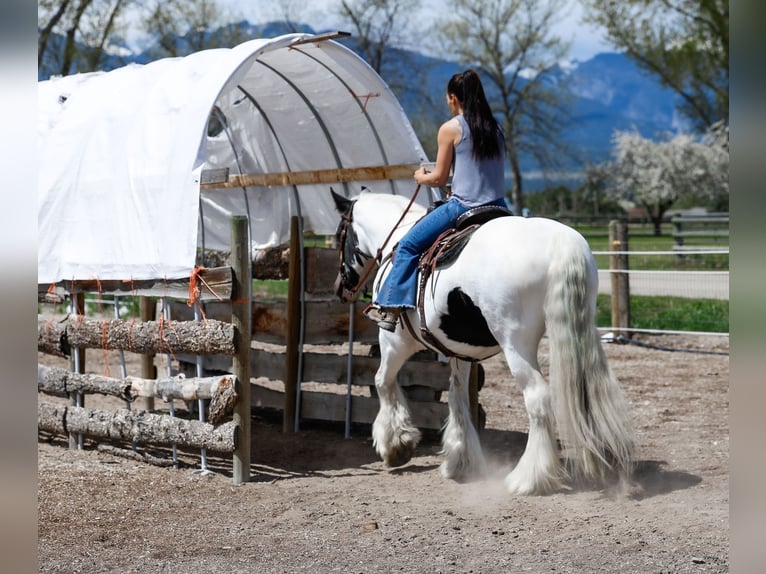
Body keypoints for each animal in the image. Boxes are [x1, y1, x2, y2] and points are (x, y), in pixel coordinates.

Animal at [332, 190, 640, 496]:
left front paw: (396, 445)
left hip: (516, 346)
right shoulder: (459, 351)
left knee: (538, 399)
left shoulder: (394, 340)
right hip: (581, 331)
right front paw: (461, 460)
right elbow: (457, 396)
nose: (340, 287)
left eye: (338, 236)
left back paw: (528, 478)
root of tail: (561, 245)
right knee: (591, 390)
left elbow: (382, 381)